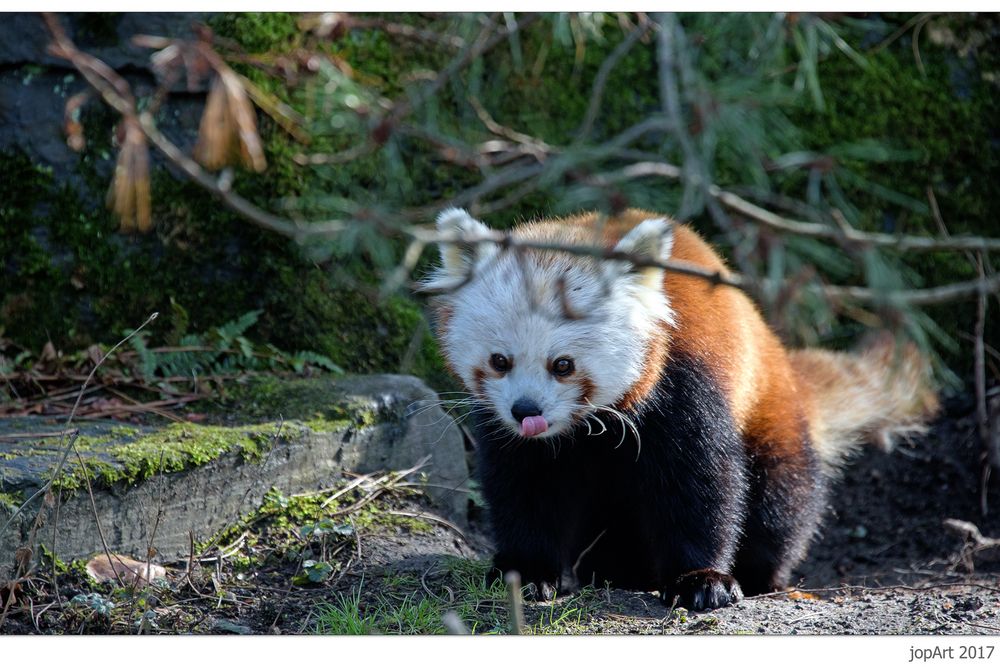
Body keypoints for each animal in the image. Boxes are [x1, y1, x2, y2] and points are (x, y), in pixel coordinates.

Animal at [420, 209, 936, 612]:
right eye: (499, 361)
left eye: (562, 364)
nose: (526, 411)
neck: (587, 428)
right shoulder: (511, 434)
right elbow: (525, 487)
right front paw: (527, 571)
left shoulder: (683, 383)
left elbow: (701, 483)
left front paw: (701, 581)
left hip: (773, 420)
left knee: (781, 503)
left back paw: (762, 575)